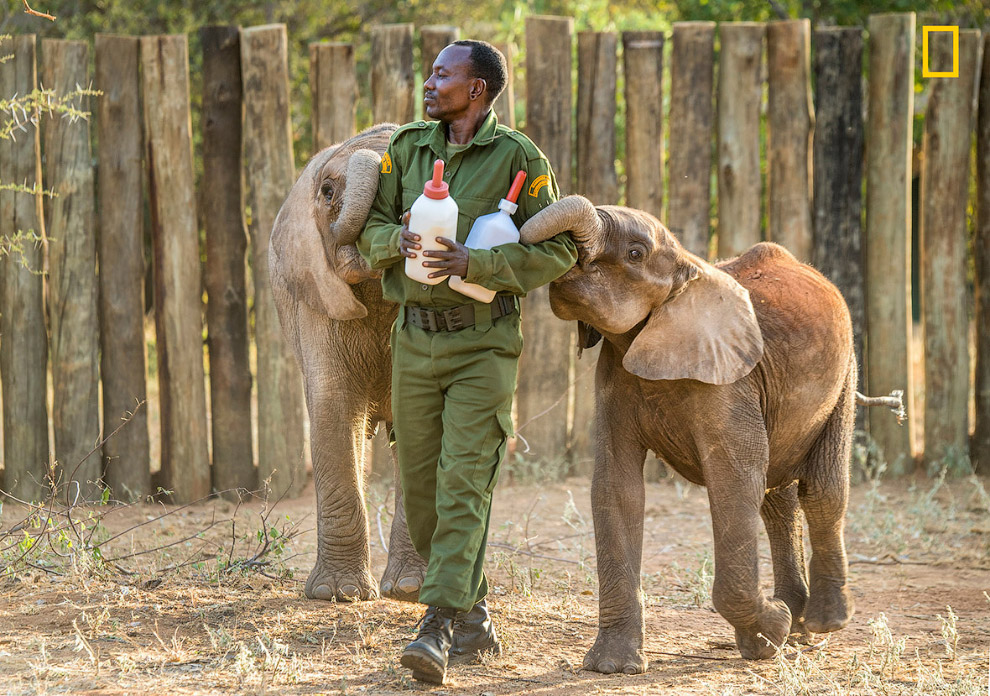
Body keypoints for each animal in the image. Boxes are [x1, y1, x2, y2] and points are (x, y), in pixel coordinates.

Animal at [520, 194, 868, 668]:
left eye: (635, 253)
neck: (687, 268)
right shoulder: (614, 374)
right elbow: (617, 487)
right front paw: (612, 666)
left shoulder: (730, 380)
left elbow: (734, 481)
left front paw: (769, 633)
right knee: (777, 500)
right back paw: (796, 627)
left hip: (845, 372)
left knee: (822, 488)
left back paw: (821, 622)